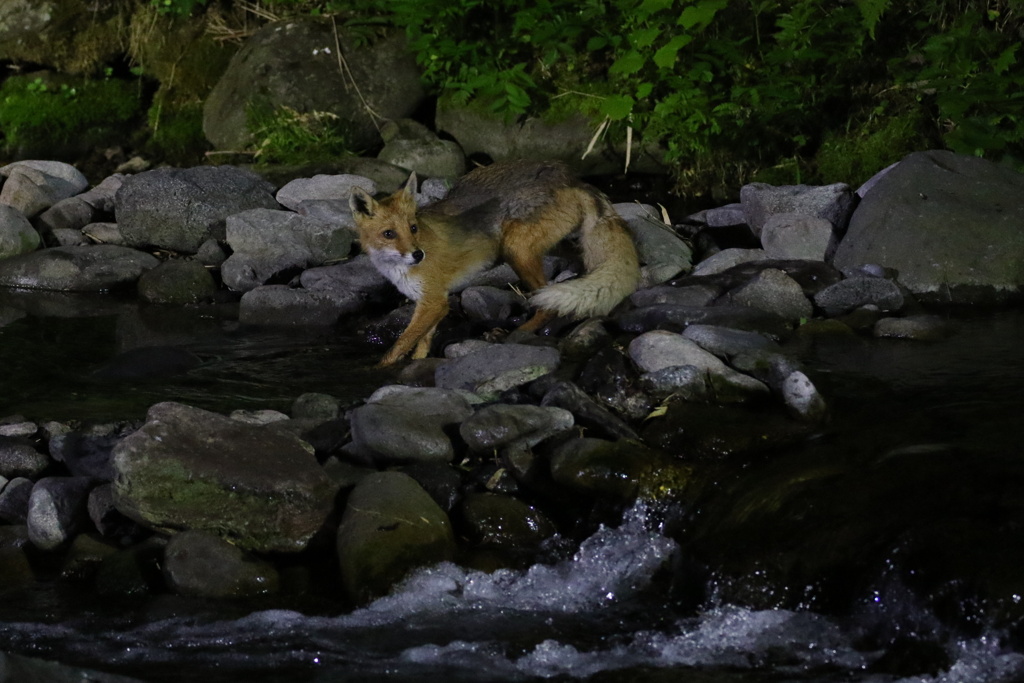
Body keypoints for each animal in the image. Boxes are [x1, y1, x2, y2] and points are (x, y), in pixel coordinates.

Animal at [352, 159, 638, 366]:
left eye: (413, 228)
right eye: (389, 234)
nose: (418, 255)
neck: (397, 270)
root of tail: (571, 178)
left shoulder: (434, 301)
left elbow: (398, 346)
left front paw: (380, 372)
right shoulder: (433, 303)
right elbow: (421, 344)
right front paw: (417, 364)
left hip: (516, 250)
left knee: (547, 306)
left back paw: (514, 334)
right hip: (560, 245)